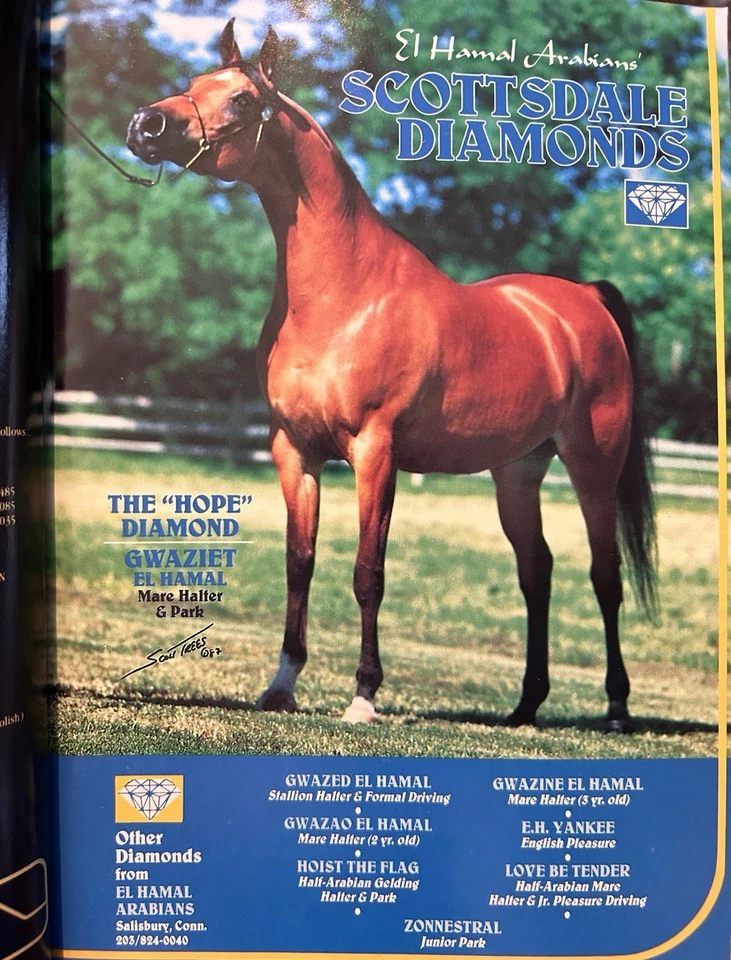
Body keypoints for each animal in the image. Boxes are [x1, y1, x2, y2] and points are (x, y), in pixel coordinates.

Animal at [126, 20, 657, 733]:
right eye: (193, 83)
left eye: (240, 98)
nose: (144, 125)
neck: (346, 295)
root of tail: (583, 303)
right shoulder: (295, 452)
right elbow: (300, 564)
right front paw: (282, 685)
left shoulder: (376, 453)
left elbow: (366, 573)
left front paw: (364, 695)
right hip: (518, 470)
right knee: (536, 571)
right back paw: (524, 706)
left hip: (592, 463)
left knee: (605, 574)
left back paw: (618, 708)